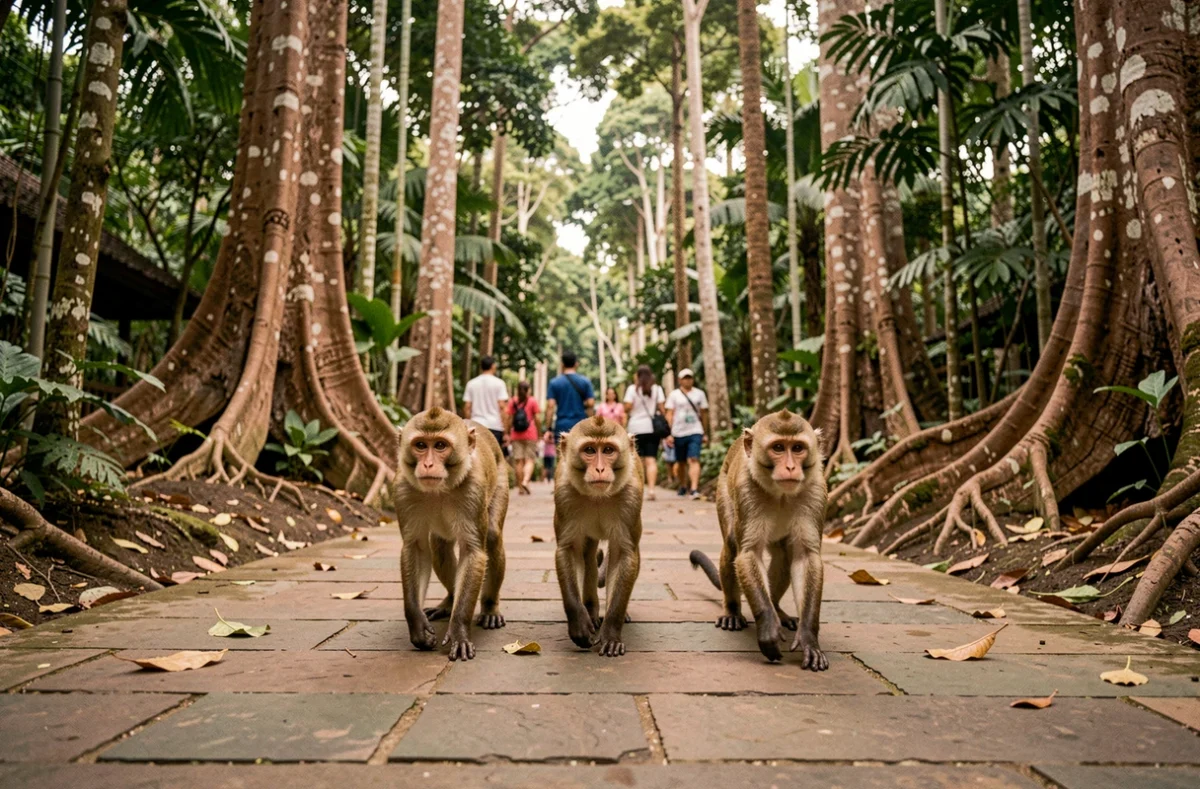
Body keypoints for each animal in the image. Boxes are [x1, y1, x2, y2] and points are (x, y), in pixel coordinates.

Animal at [391, 407, 509, 660]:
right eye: (421, 445)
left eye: (440, 446)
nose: (427, 465)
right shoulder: (402, 489)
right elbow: (415, 548)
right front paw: (417, 626)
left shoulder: (474, 489)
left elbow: (473, 551)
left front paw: (459, 630)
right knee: (440, 546)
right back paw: (448, 602)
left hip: (501, 480)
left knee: (492, 537)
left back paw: (489, 608)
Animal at [553, 414, 644, 656]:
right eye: (590, 450)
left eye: (609, 450)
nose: (601, 469)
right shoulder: (564, 494)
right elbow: (569, 549)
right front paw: (579, 623)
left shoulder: (632, 497)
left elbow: (623, 554)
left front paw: (611, 633)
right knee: (589, 557)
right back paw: (591, 611)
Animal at [688, 410, 828, 670]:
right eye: (778, 448)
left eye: (798, 448)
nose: (791, 467)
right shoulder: (746, 490)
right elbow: (748, 553)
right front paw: (767, 627)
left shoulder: (816, 490)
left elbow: (805, 557)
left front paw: (808, 637)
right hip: (724, 490)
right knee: (732, 546)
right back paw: (733, 611)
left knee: (784, 555)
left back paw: (778, 610)